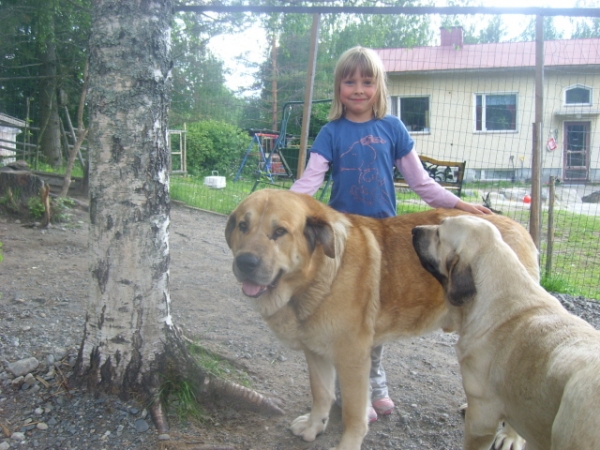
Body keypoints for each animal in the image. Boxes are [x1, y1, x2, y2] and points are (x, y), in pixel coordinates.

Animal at [225, 190, 540, 450]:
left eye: (279, 231)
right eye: (243, 226)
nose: (245, 263)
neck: (319, 275)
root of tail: (517, 226)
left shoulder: (353, 358)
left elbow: (353, 414)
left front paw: (347, 445)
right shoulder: (315, 351)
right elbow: (322, 393)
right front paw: (315, 426)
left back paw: (511, 436)